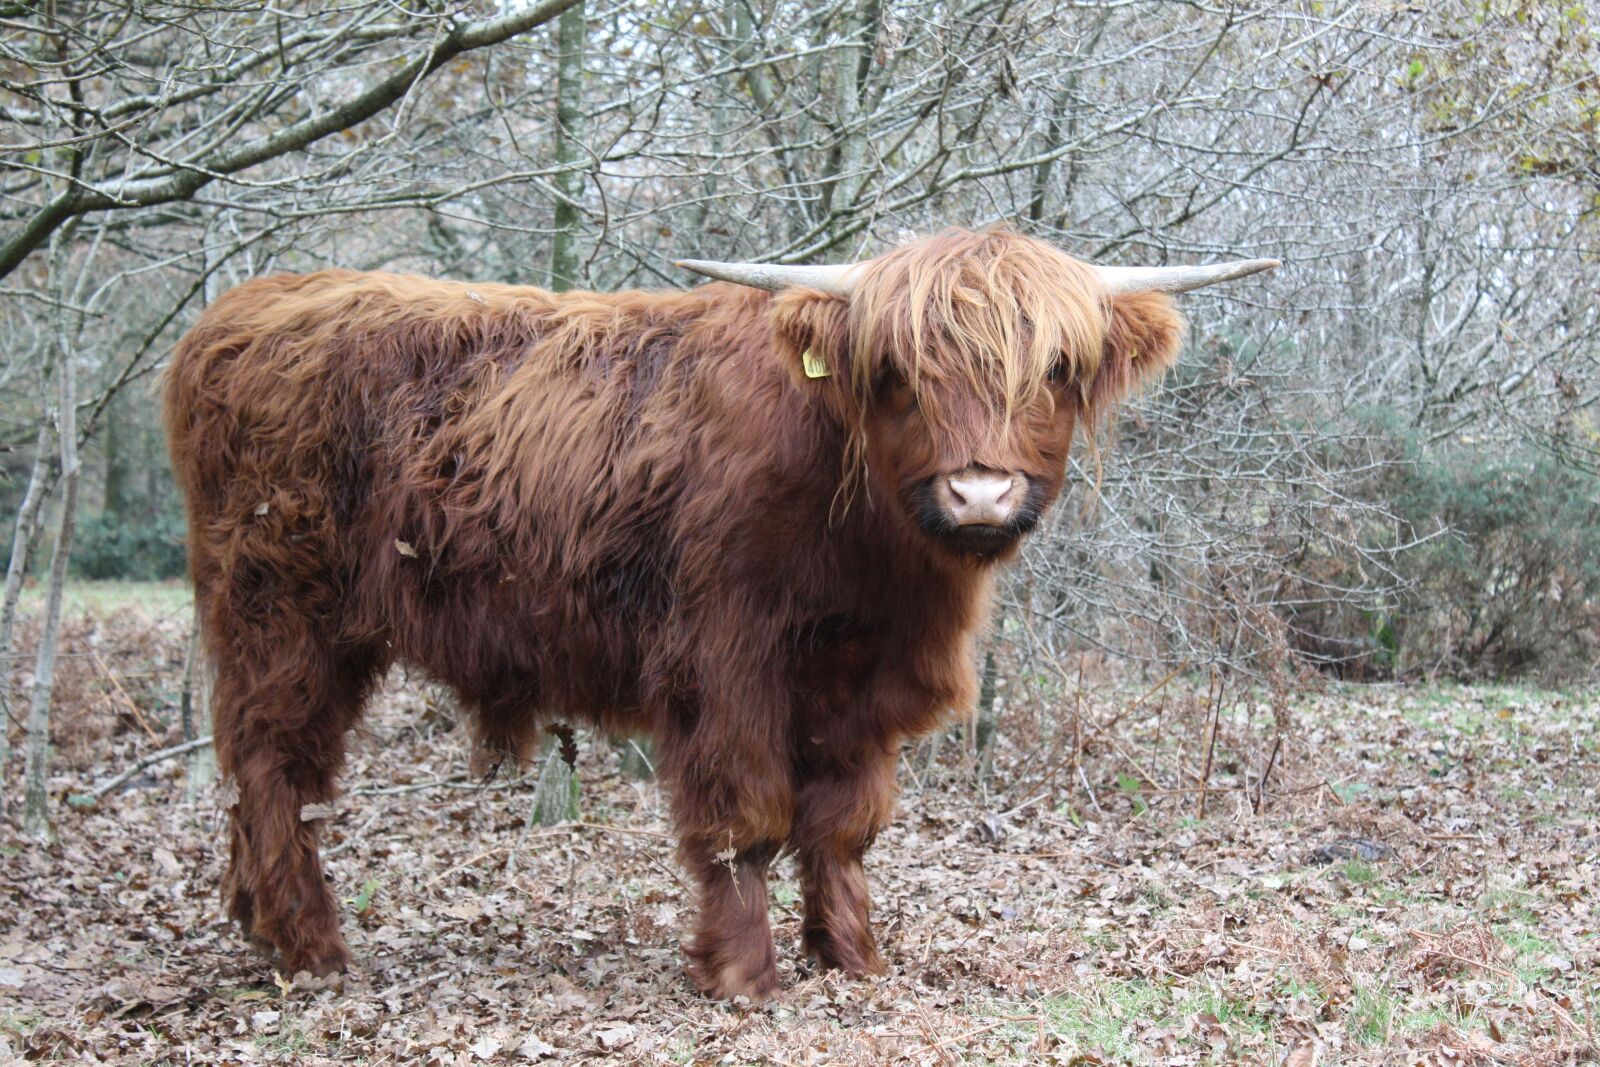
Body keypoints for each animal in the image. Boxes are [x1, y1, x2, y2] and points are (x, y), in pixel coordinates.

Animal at [163, 227, 1275, 1000]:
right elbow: (747, 816)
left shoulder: (863, 685)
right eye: (898, 374)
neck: (869, 556)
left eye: (1054, 369)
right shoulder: (724, 662)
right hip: (279, 613)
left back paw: (258, 927)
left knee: (261, 776)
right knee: (273, 766)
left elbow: (844, 825)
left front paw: (851, 955)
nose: (980, 493)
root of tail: (244, 308)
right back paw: (311, 947)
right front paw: (744, 974)